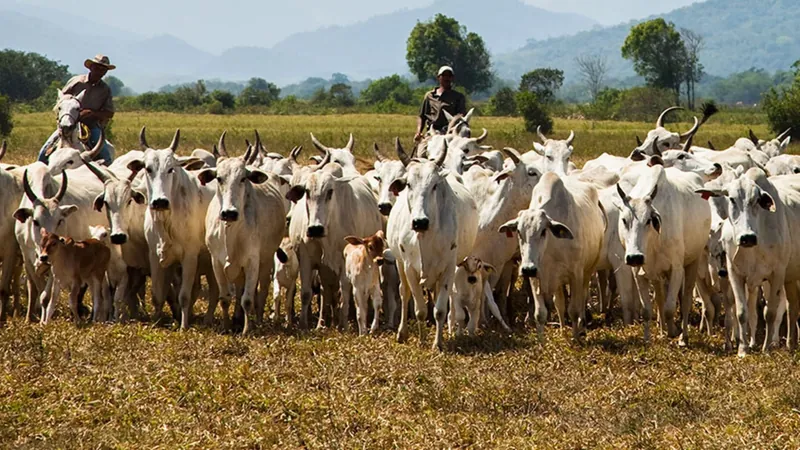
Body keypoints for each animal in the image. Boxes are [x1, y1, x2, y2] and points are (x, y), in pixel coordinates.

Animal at [386, 139, 476, 350]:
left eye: (435, 185)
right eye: (408, 184)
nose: (420, 222)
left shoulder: (448, 268)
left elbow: (440, 309)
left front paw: (438, 343)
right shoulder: (409, 268)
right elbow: (419, 309)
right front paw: (421, 340)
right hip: (400, 264)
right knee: (404, 293)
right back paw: (402, 333)